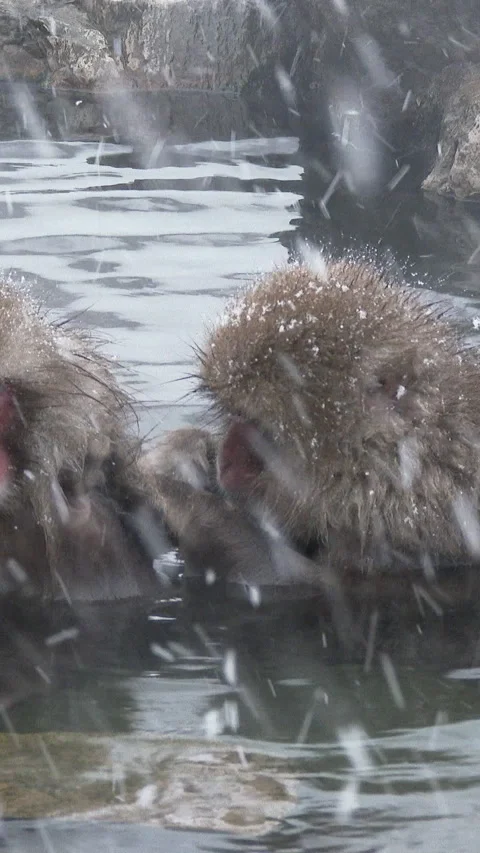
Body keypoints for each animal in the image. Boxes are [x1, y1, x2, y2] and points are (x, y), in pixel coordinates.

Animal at [145, 259, 480, 599]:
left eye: (262, 430)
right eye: (236, 415)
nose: (226, 459)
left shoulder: (411, 526)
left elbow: (318, 584)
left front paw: (184, 502)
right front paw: (184, 451)